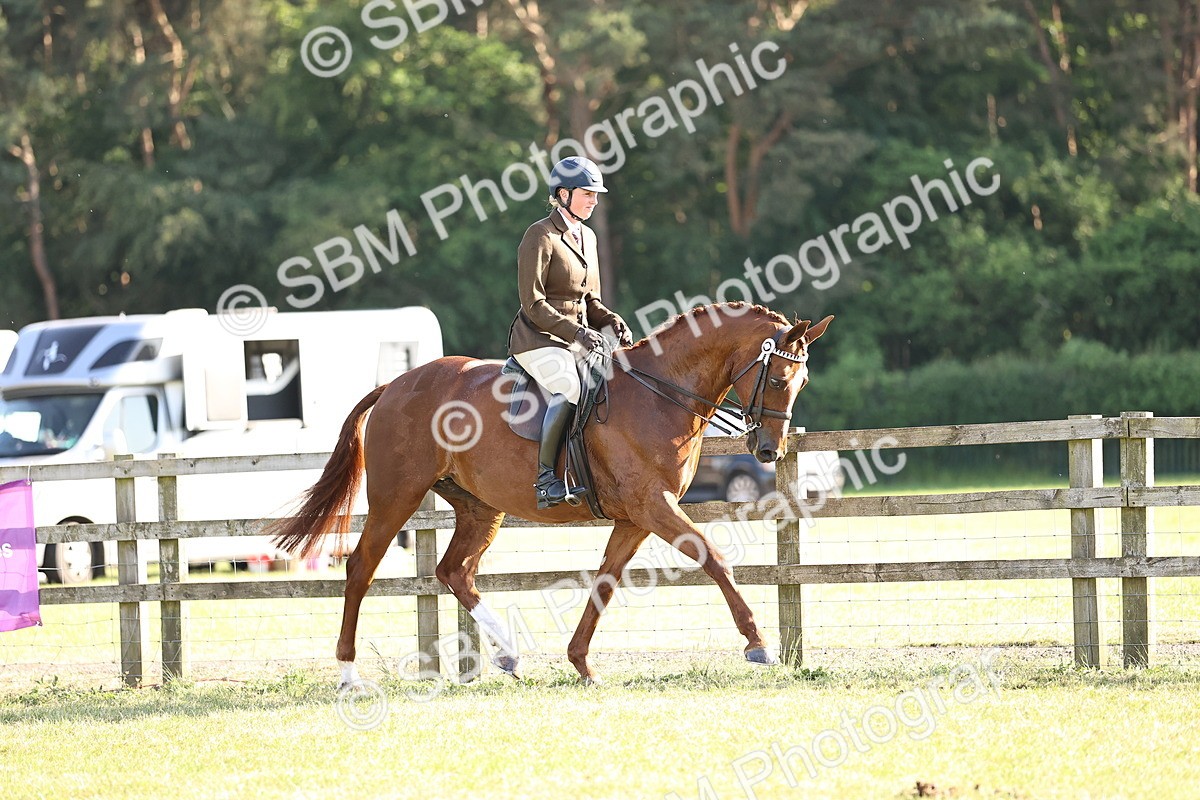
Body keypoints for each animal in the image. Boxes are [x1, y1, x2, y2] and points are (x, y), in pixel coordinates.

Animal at [270, 302, 833, 686]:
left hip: (480, 508)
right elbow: (714, 558)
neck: (660, 394)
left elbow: (605, 581)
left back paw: (508, 654)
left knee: (454, 571)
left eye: (804, 381)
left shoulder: (635, 517)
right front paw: (758, 644)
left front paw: (581, 663)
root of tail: (394, 385)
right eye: (778, 378)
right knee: (361, 568)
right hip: (396, 497)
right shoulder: (654, 506)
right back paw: (348, 674)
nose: (769, 450)